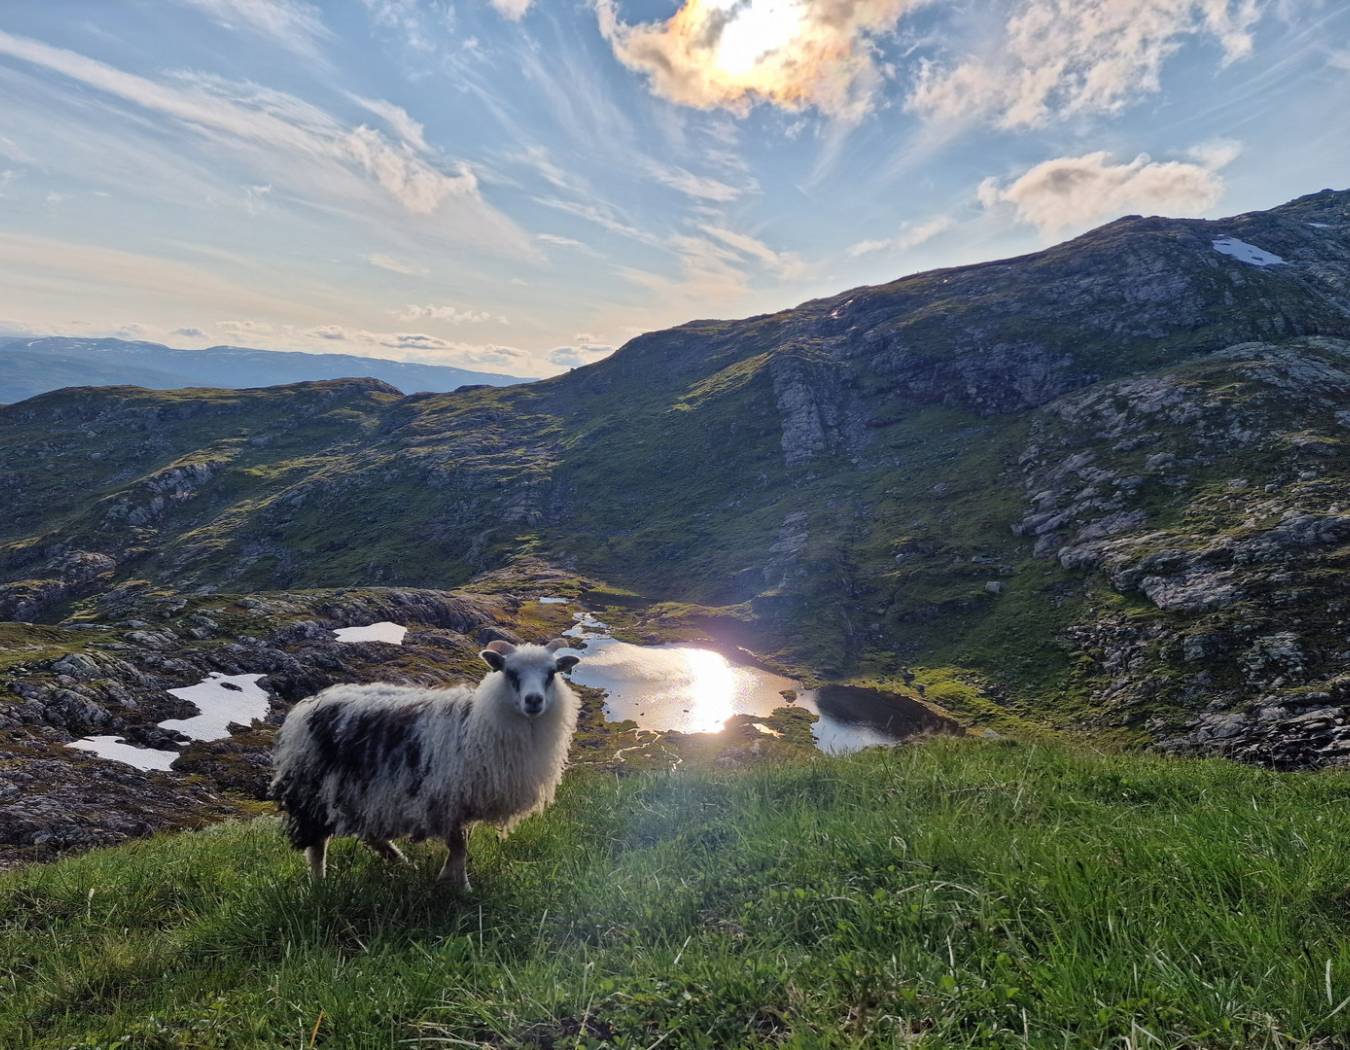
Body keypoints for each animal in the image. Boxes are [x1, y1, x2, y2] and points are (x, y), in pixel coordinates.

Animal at [268, 634, 580, 885]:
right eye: (510, 672)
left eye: (551, 673)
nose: (533, 700)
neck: (477, 723)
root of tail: (308, 706)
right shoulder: (447, 797)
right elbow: (459, 848)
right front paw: (461, 887)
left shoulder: (457, 804)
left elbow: (459, 847)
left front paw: (445, 879)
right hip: (316, 791)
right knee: (317, 845)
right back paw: (319, 885)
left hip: (364, 793)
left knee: (370, 834)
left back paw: (402, 863)